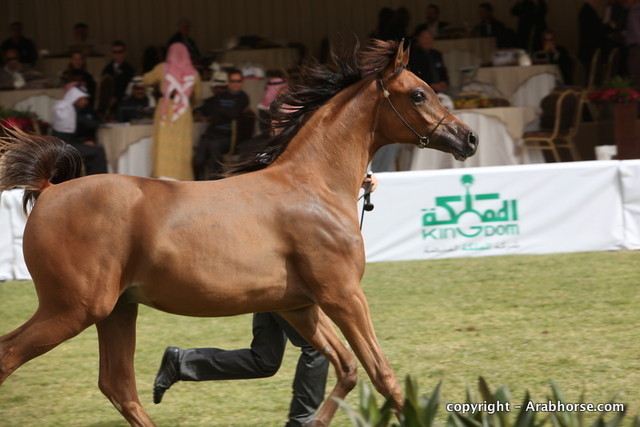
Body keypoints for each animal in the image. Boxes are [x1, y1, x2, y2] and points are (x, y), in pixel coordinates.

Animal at [0, 40, 477, 426]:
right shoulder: (343, 295)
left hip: (117, 310)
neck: (313, 185)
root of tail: (49, 191)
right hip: (73, 309)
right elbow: (383, 374)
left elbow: (346, 368)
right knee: (10, 357)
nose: (469, 138)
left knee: (118, 387)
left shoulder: (299, 306)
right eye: (418, 93)